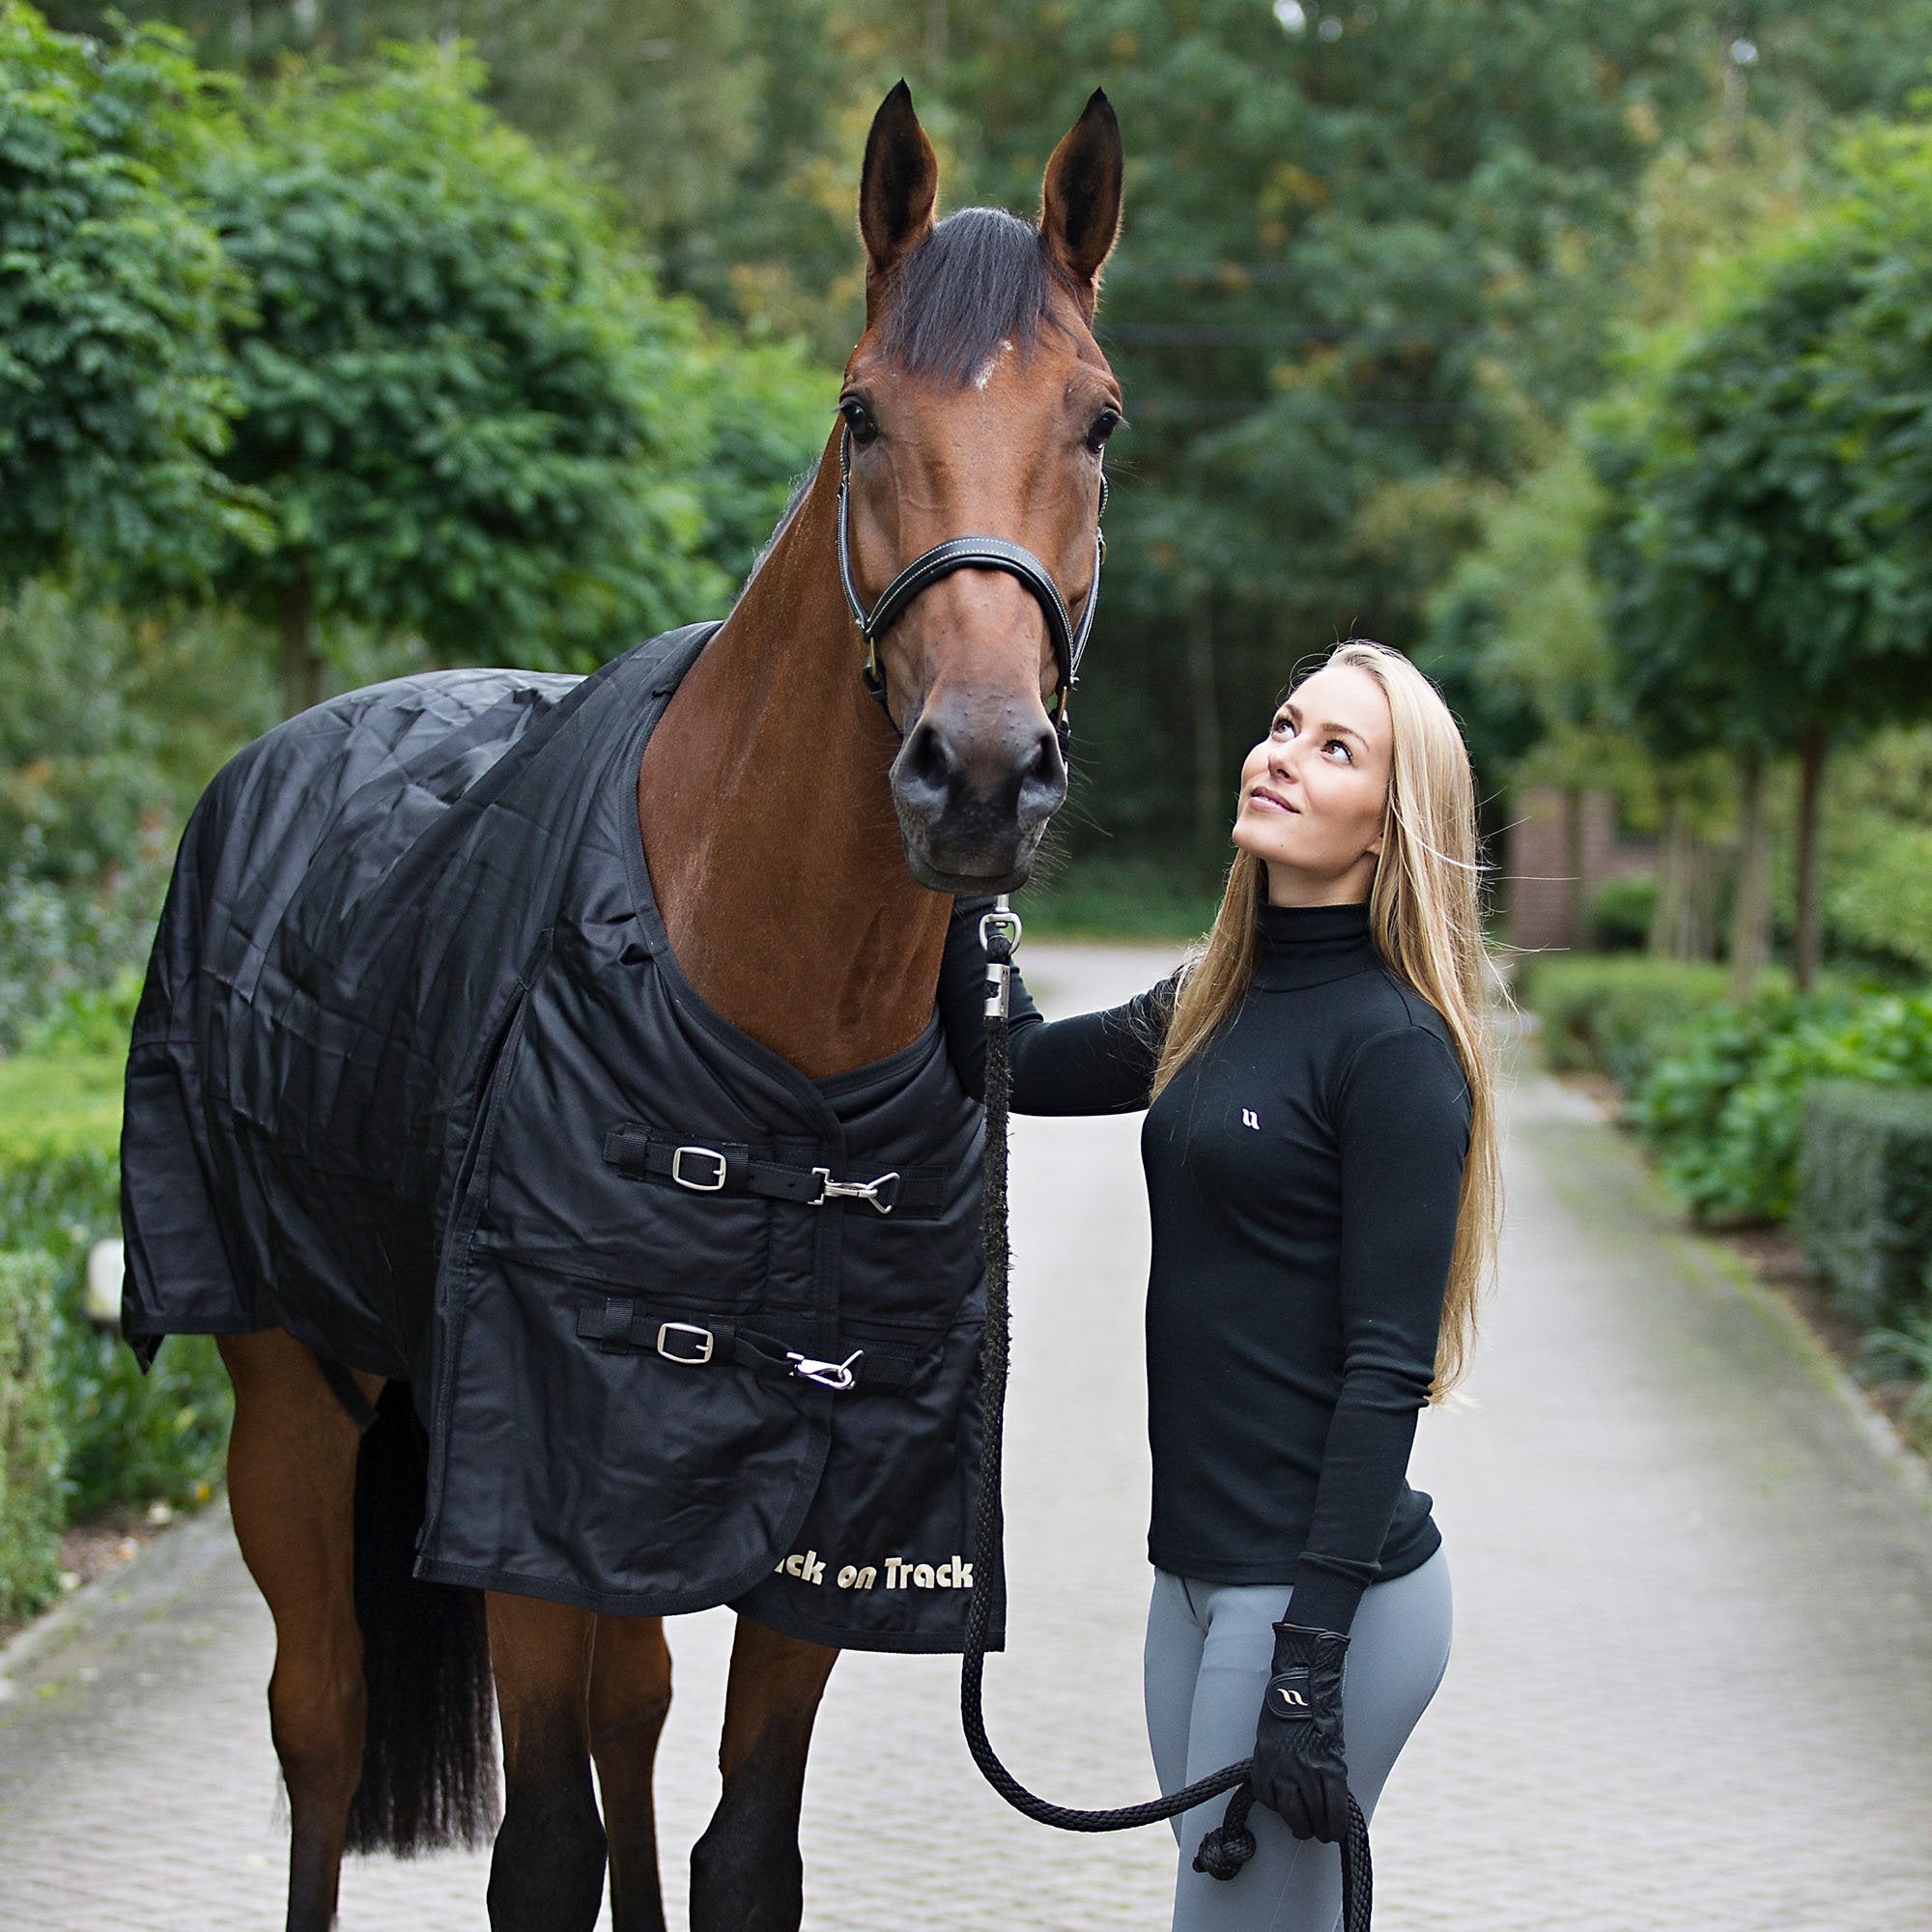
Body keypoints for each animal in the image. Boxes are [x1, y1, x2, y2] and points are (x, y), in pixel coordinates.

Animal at [193, 82, 1123, 1932]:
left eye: (1103, 425)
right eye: (859, 412)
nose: (983, 773)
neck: (779, 1031)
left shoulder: (816, 1515)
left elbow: (742, 1846)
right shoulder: (532, 1497)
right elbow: (542, 1853)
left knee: (628, 1712)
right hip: (293, 1401)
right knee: (321, 1728)